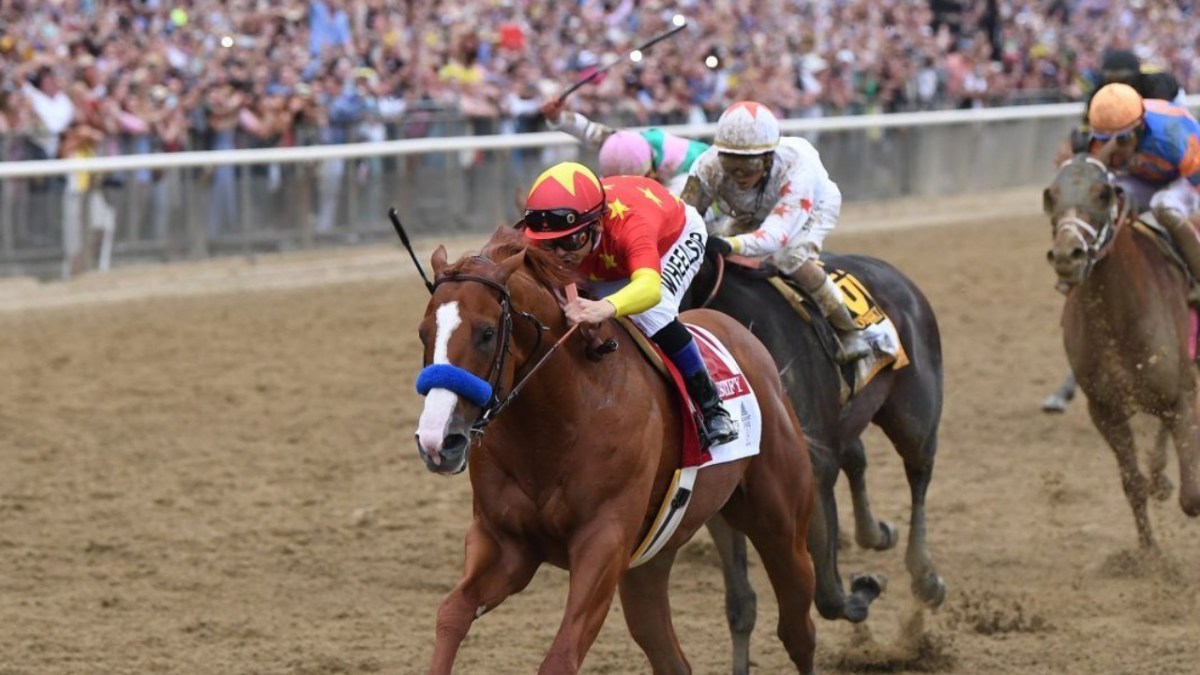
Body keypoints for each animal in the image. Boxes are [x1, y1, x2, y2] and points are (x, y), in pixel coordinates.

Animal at [412, 227, 816, 672]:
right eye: (423, 333)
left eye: (486, 334)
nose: (437, 441)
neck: (560, 419)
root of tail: (745, 336)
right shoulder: (506, 544)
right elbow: (452, 612)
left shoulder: (603, 541)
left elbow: (560, 656)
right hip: (649, 561)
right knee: (669, 655)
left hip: (781, 524)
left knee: (798, 630)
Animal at [686, 248, 945, 629]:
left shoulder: (814, 462)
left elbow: (828, 592)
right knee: (857, 457)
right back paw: (876, 533)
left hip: (915, 413)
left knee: (919, 472)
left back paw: (926, 576)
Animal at [1041, 154, 1200, 550]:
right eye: (1051, 195)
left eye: (1103, 194)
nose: (1067, 255)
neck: (1119, 316)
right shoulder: (1105, 410)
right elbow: (1133, 485)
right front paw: (1147, 554)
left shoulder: (1181, 395)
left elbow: (1192, 497)